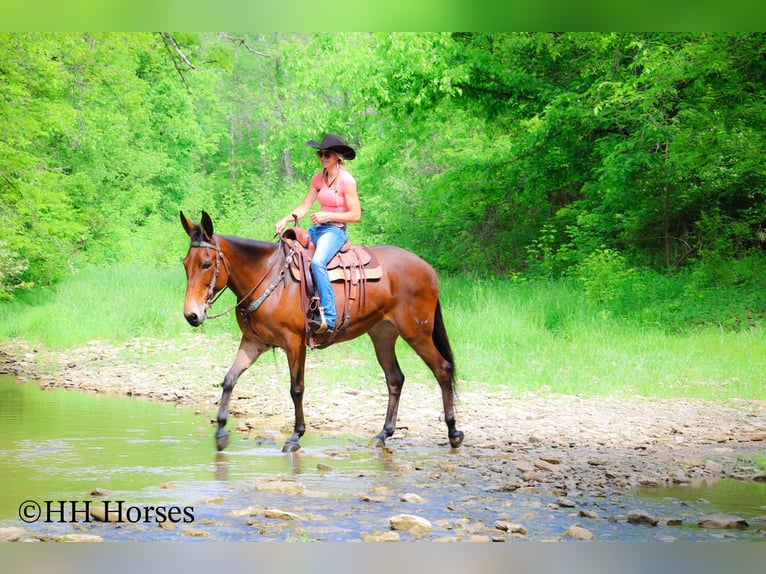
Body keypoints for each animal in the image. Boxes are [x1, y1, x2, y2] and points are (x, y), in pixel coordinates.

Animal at [180, 211, 464, 453]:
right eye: (185, 263)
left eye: (206, 264)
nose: (191, 315)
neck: (267, 277)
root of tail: (428, 269)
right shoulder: (253, 342)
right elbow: (229, 379)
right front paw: (220, 433)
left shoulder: (294, 342)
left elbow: (296, 389)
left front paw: (295, 436)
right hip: (383, 334)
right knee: (395, 379)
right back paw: (384, 434)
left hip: (417, 332)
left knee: (442, 369)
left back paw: (453, 432)